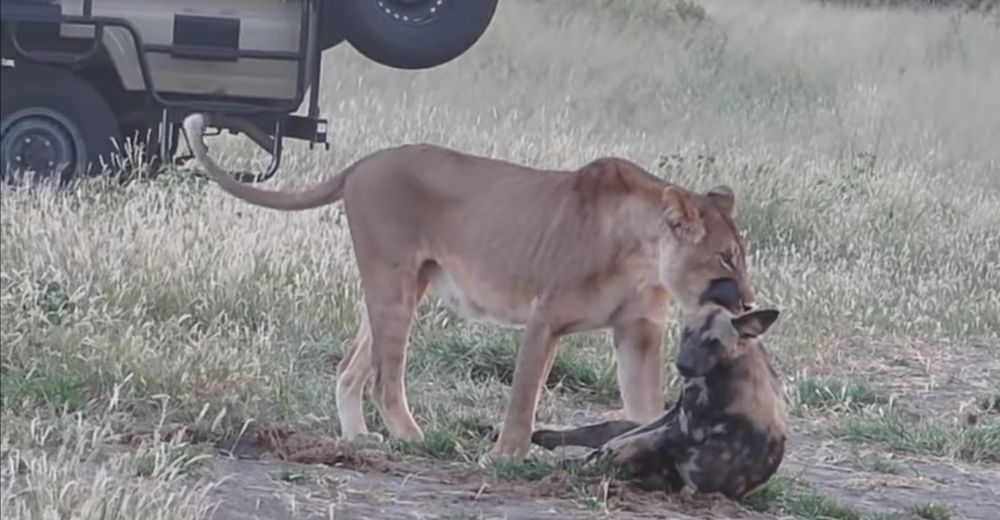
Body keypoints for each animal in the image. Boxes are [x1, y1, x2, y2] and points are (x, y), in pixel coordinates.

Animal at [532, 304, 788, 500]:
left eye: (714, 342)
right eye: (687, 333)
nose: (684, 365)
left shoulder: (680, 429)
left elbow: (610, 448)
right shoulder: (672, 417)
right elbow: (609, 440)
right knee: (609, 432)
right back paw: (546, 439)